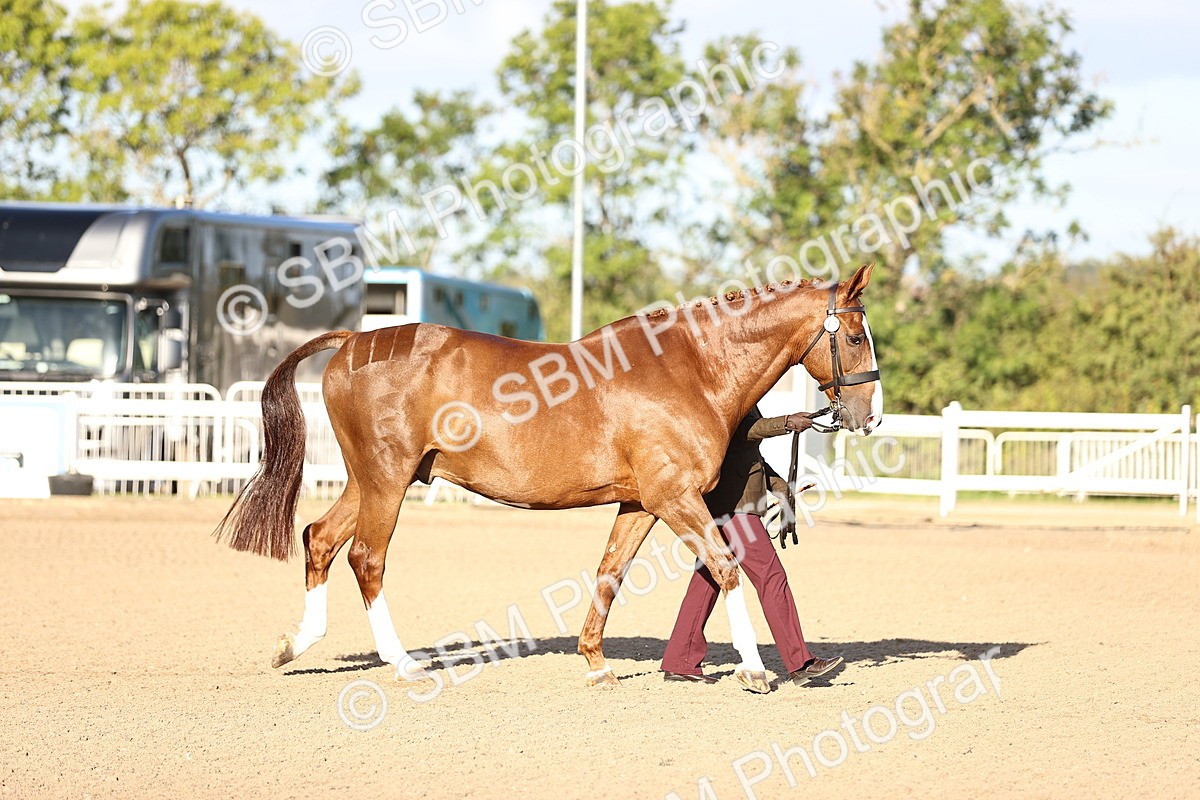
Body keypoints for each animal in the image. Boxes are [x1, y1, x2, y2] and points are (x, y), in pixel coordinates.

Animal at [215, 263, 883, 693]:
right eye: (854, 335)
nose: (868, 415)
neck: (689, 369)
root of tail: (356, 340)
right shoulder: (675, 497)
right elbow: (726, 567)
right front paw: (752, 670)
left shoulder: (641, 504)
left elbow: (611, 573)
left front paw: (596, 664)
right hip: (387, 480)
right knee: (366, 558)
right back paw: (402, 662)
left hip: (370, 480)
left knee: (320, 539)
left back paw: (295, 645)